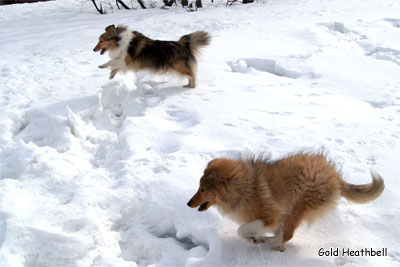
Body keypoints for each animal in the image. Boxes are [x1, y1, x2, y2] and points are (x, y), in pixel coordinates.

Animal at [188, 154, 384, 252]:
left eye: (203, 189)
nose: (188, 204)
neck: (241, 188)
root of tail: (337, 178)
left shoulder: (269, 217)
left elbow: (241, 230)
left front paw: (254, 240)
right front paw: (254, 239)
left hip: (297, 206)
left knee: (287, 235)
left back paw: (270, 243)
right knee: (285, 234)